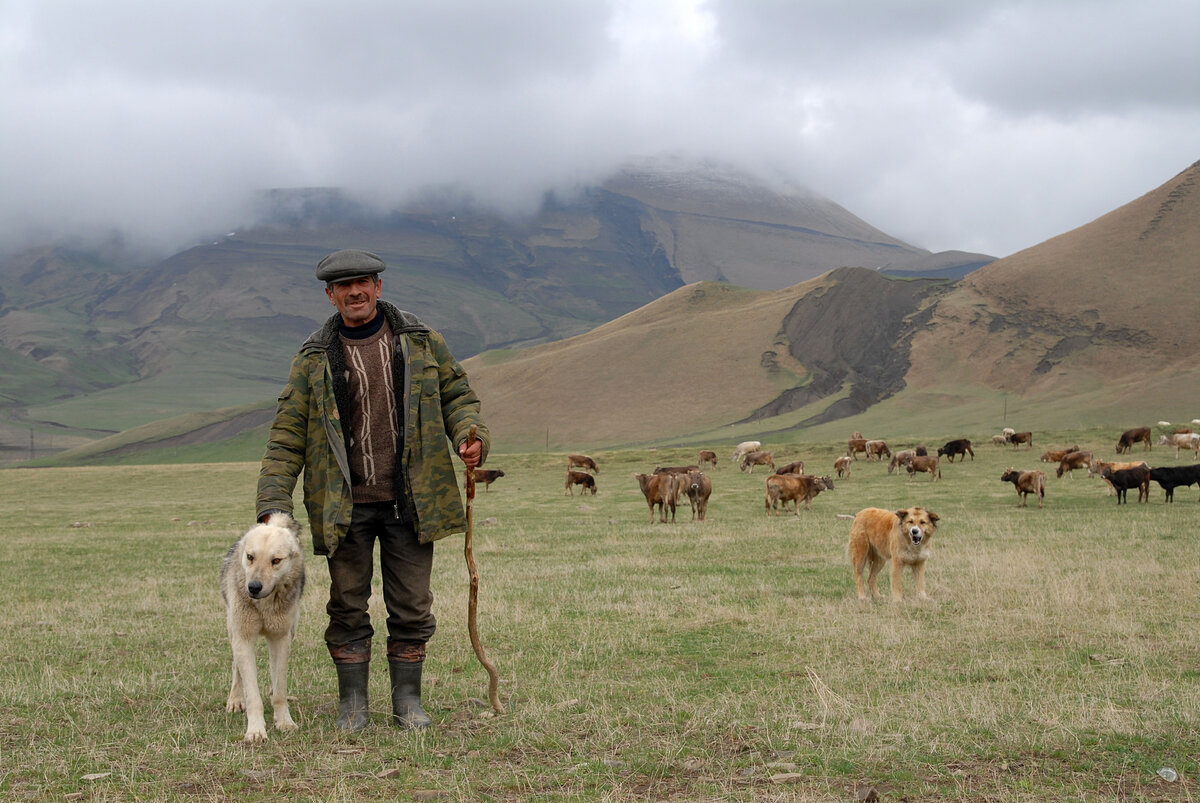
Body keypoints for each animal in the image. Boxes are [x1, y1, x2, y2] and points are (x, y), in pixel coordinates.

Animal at [220, 513, 304, 739]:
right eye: (250, 557)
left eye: (275, 561)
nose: (254, 587)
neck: (264, 606)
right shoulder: (244, 638)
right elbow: (252, 696)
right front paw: (256, 731)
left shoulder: (280, 638)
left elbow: (280, 690)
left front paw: (284, 722)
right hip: (233, 631)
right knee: (236, 668)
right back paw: (235, 700)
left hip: (291, 630)